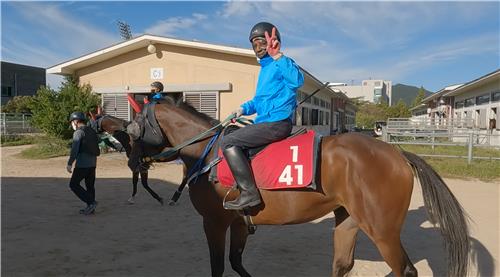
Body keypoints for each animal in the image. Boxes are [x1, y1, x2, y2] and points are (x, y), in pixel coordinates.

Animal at [128, 97, 468, 276]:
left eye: (132, 128)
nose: (133, 163)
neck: (208, 152)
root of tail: (397, 153)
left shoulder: (214, 222)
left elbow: (219, 267)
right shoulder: (238, 223)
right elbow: (236, 261)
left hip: (382, 231)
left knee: (404, 270)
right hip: (348, 220)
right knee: (343, 264)